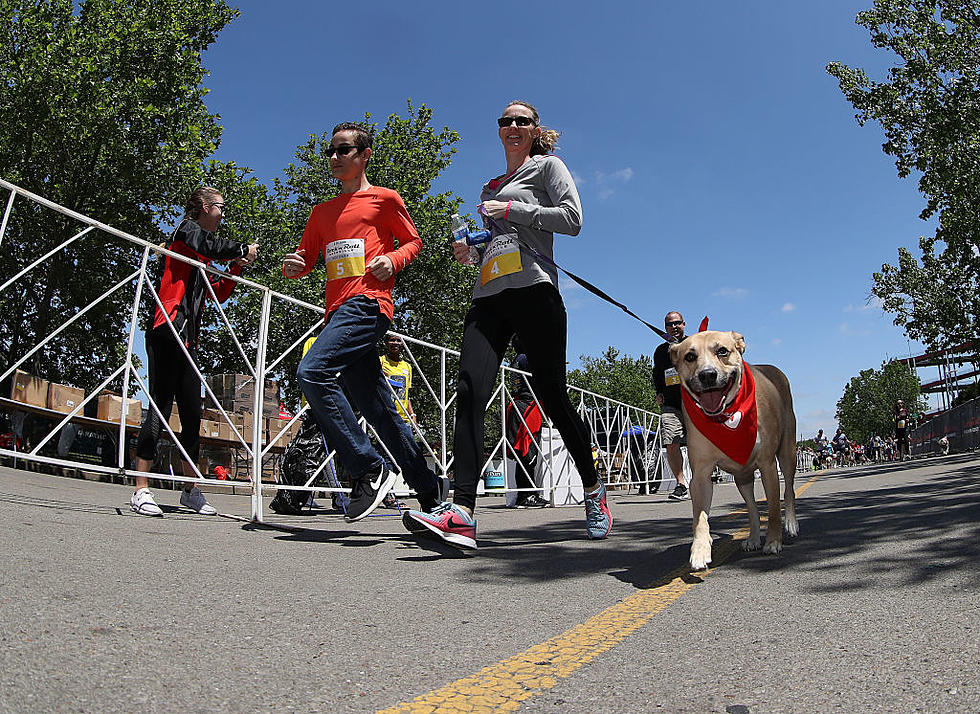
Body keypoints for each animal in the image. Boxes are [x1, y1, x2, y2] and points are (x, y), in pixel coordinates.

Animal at [668, 330, 800, 572]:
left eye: (722, 351)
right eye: (690, 356)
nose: (707, 375)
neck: (726, 416)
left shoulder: (767, 465)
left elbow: (773, 509)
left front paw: (773, 541)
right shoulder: (700, 476)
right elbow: (700, 518)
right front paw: (700, 550)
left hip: (787, 452)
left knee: (788, 490)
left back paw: (791, 523)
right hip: (742, 476)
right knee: (752, 509)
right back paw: (754, 537)